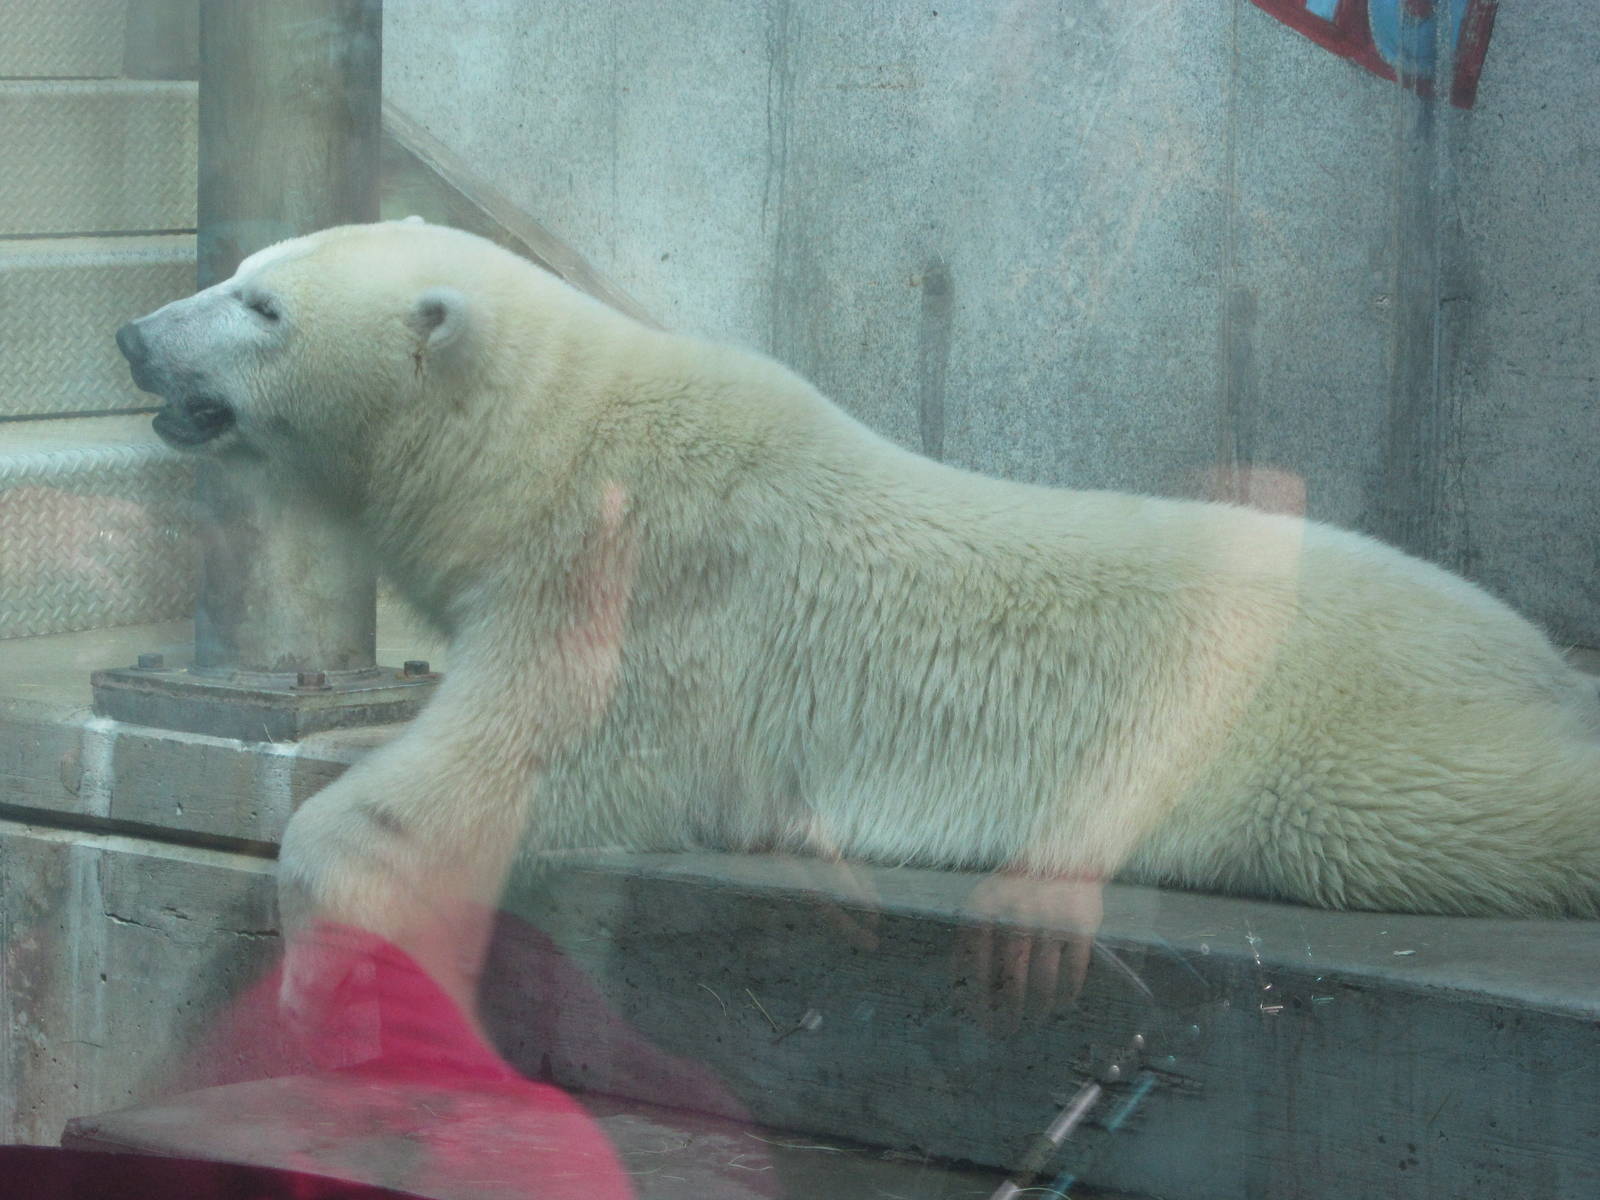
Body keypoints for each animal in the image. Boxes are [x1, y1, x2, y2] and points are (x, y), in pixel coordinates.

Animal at [115, 219, 1600, 987]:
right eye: (243, 266)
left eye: (259, 304)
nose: (131, 334)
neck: (561, 451)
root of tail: (1531, 654)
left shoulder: (632, 596)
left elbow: (508, 774)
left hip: (1330, 732)